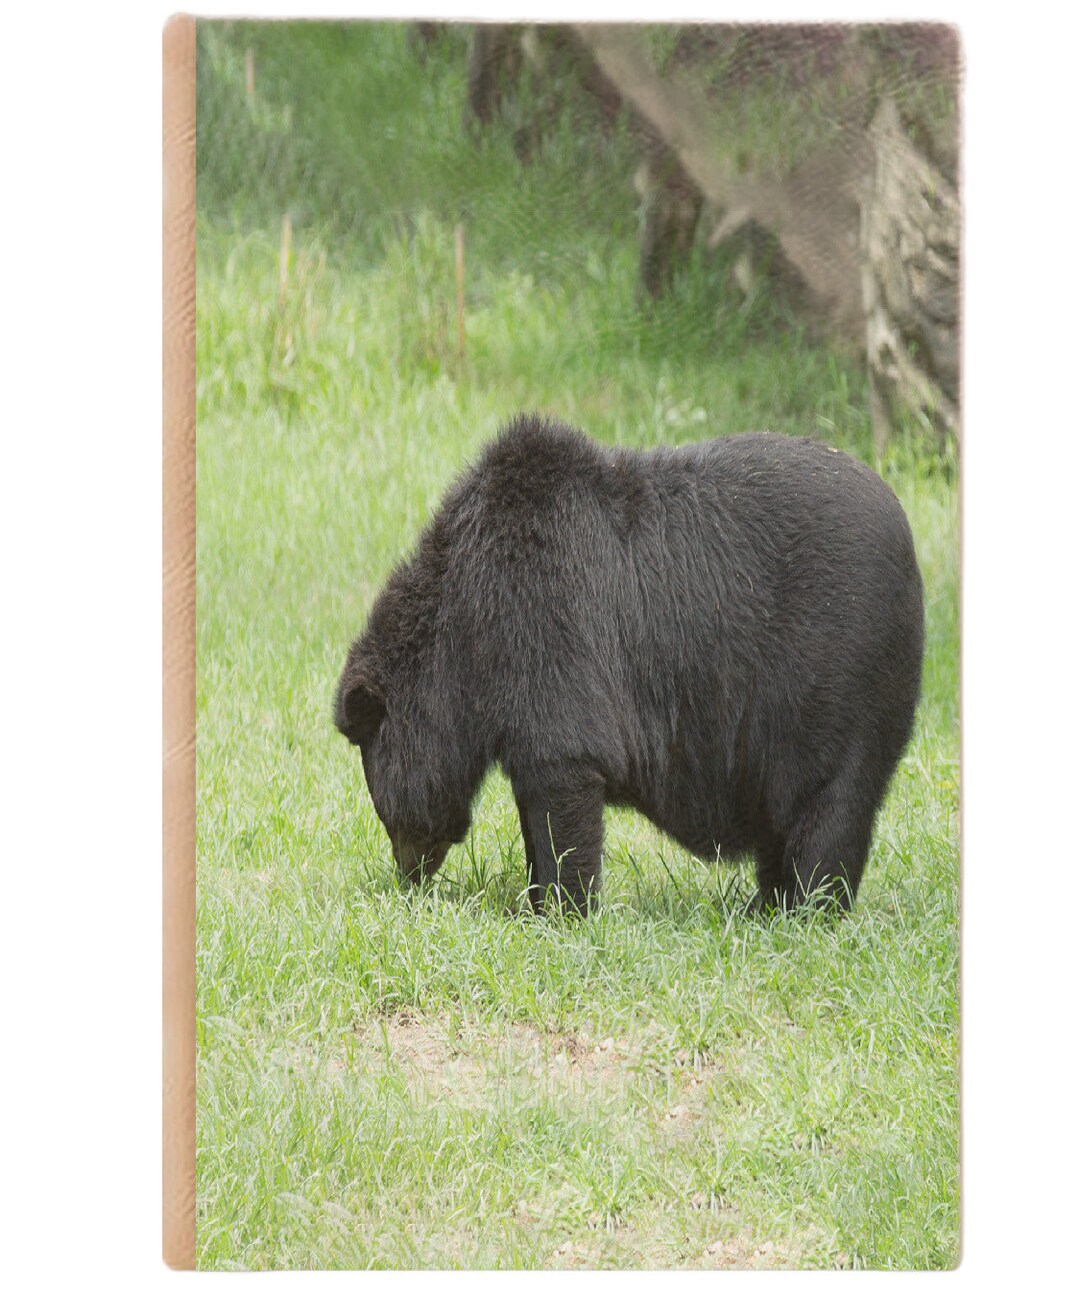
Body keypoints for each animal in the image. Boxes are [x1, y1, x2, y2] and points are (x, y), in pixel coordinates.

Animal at [335, 415, 924, 915]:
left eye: (383, 807)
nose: (408, 874)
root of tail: (905, 529)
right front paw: (536, 903)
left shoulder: (548, 625)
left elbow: (564, 773)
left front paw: (565, 910)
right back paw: (767, 905)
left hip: (840, 676)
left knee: (829, 803)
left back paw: (809, 909)